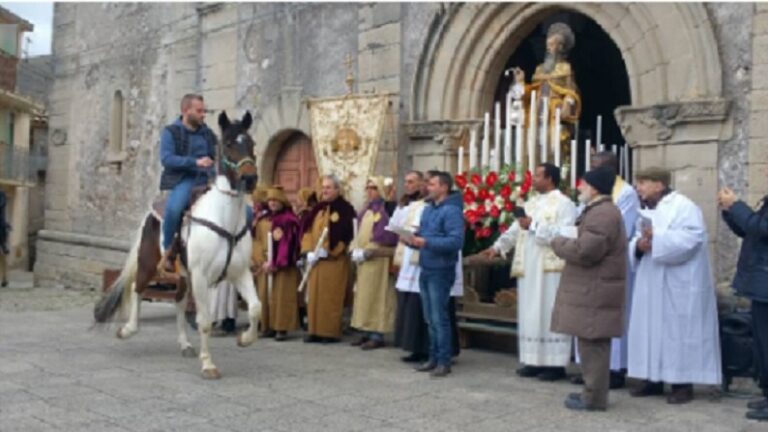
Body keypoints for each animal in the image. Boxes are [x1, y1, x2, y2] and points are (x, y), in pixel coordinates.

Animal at [92, 110, 260, 378]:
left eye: (251, 143)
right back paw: (127, 329)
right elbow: (204, 321)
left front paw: (244, 339)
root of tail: (150, 214)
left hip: (182, 276)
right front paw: (208, 364)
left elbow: (255, 307)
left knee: (179, 303)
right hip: (148, 264)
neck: (224, 219)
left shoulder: (239, 272)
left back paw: (185, 344)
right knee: (137, 289)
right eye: (228, 143)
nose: (250, 178)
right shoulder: (201, 276)